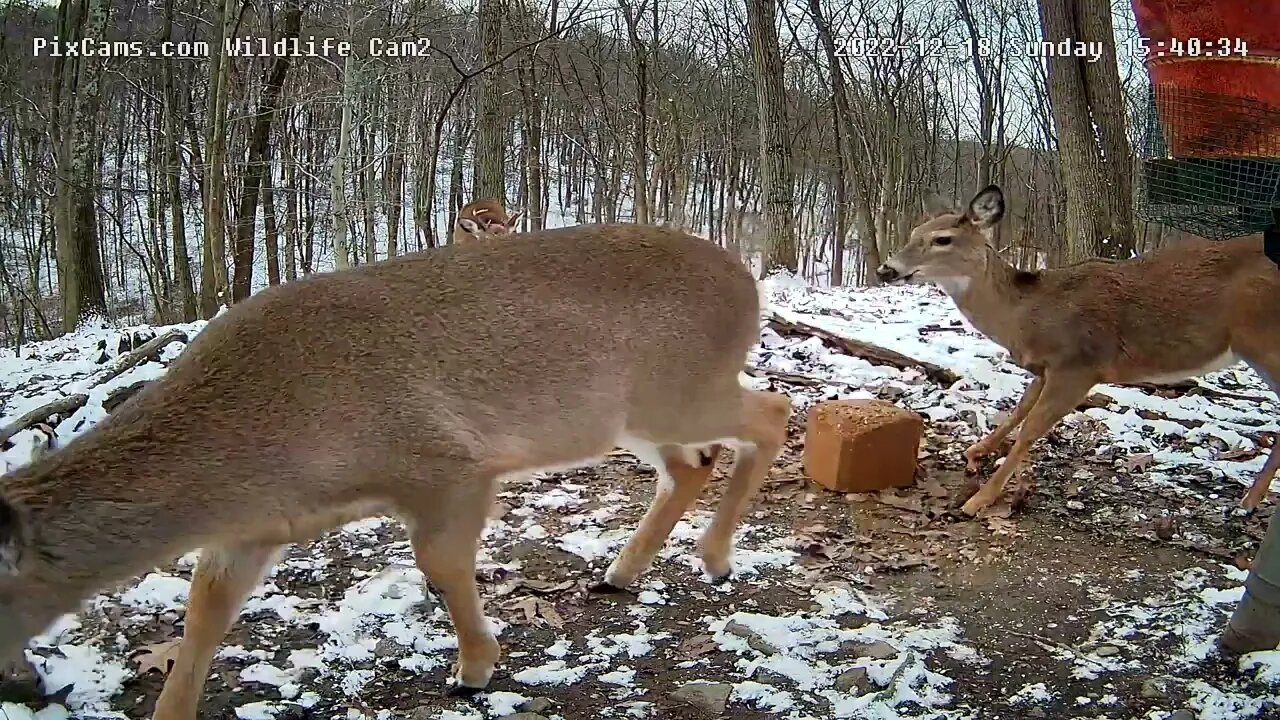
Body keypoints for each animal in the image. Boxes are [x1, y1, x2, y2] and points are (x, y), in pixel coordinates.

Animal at [0, 222, 788, 712]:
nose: (22, 681)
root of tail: (748, 280)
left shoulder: (447, 465)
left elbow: (440, 562)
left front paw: (475, 669)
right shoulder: (253, 529)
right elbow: (202, 616)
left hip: (679, 391)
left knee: (772, 410)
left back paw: (715, 557)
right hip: (634, 416)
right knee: (694, 462)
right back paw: (623, 571)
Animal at [875, 181, 1280, 512]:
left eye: (942, 239)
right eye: (913, 232)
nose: (886, 269)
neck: (1026, 316)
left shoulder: (1080, 365)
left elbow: (1031, 430)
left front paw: (978, 500)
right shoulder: (1044, 368)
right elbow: (1019, 411)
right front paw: (976, 452)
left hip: (1261, 338)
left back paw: (1247, 502)